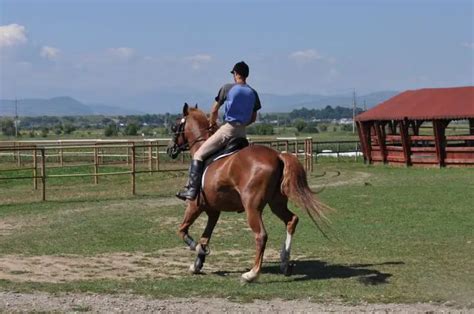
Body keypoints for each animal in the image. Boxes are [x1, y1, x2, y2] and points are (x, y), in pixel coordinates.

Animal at [167, 103, 330, 282]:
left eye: (174, 126)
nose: (169, 149)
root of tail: (278, 155)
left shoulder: (195, 206)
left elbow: (182, 230)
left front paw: (196, 248)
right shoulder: (213, 211)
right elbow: (205, 237)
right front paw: (197, 264)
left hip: (252, 207)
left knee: (261, 235)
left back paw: (251, 274)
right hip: (276, 203)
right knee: (291, 220)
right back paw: (285, 263)